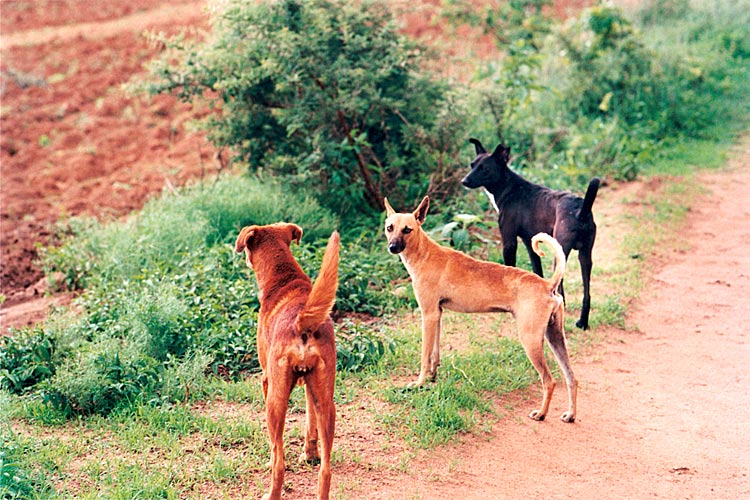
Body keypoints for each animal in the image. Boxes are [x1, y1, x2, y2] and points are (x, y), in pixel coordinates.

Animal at [235, 224, 340, 500]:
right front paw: (310, 454)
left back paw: (271, 492)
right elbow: (310, 423)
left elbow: (275, 448)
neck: (283, 278)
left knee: (279, 462)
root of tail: (302, 322)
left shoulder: (266, 379)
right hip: (328, 401)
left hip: (275, 400)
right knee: (326, 471)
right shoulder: (310, 387)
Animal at [384, 195, 580, 422]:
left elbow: (425, 356)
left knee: (549, 381)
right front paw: (432, 378)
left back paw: (541, 413)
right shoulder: (436, 315)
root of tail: (547, 285)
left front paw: (419, 383)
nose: (392, 247)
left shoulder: (428, 315)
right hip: (555, 337)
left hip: (531, 340)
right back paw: (570, 414)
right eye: (389, 227)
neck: (424, 254)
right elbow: (435, 354)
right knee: (571, 378)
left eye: (407, 229)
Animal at [462, 139, 604, 330]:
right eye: (472, 165)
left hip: (561, 254)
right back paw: (582, 322)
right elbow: (537, 271)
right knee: (586, 293)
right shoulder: (530, 244)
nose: (464, 181)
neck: (509, 187)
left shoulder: (509, 242)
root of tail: (580, 210)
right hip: (586, 257)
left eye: (484, 168)